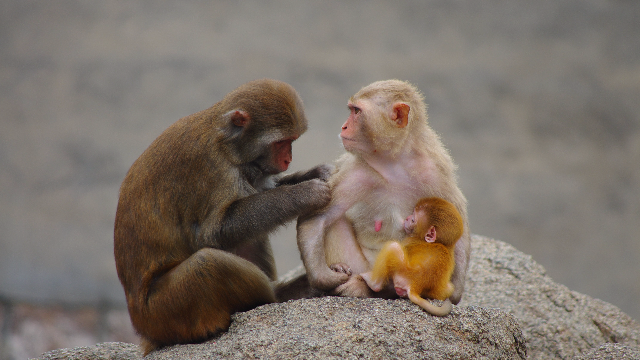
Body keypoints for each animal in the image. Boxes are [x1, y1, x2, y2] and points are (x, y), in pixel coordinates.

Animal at [114, 79, 332, 354]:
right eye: (280, 143)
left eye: (292, 140)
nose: (287, 160)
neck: (225, 143)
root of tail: (143, 329)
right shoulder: (210, 168)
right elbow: (213, 233)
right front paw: (305, 194)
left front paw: (318, 173)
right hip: (165, 312)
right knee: (209, 263)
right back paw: (277, 298)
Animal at [296, 79, 470, 304]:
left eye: (357, 111)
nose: (344, 126)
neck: (394, 162)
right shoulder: (360, 172)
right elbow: (318, 217)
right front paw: (326, 278)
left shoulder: (436, 173)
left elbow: (457, 227)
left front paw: (451, 294)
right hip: (361, 265)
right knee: (335, 221)